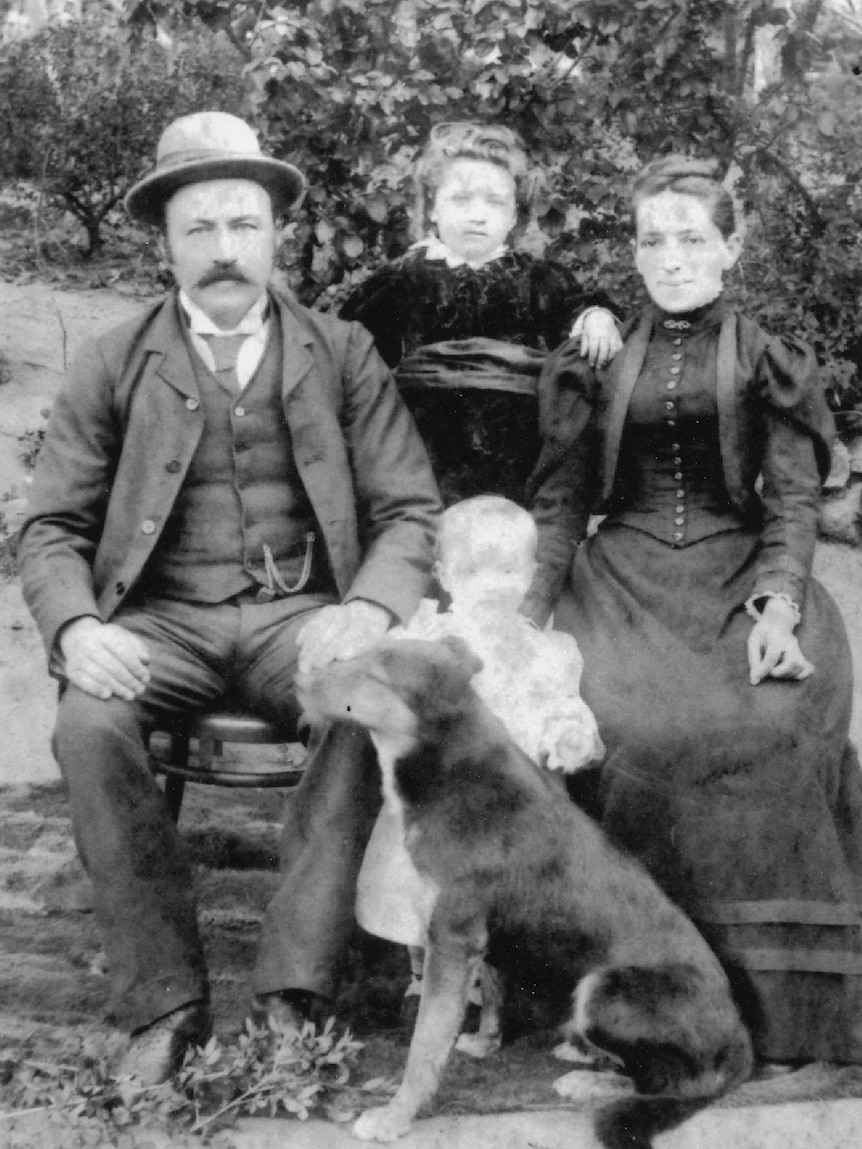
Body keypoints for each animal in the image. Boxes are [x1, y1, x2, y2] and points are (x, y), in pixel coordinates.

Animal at [296, 638, 749, 1149]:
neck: (446, 762)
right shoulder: (482, 939)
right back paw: (585, 1053)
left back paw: (590, 1081)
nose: (298, 680)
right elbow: (492, 994)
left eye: (371, 675)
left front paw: (395, 1115)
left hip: (601, 990)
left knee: (668, 1082)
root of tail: (741, 1039)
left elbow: (424, 1045)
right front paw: (485, 1042)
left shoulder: (451, 939)